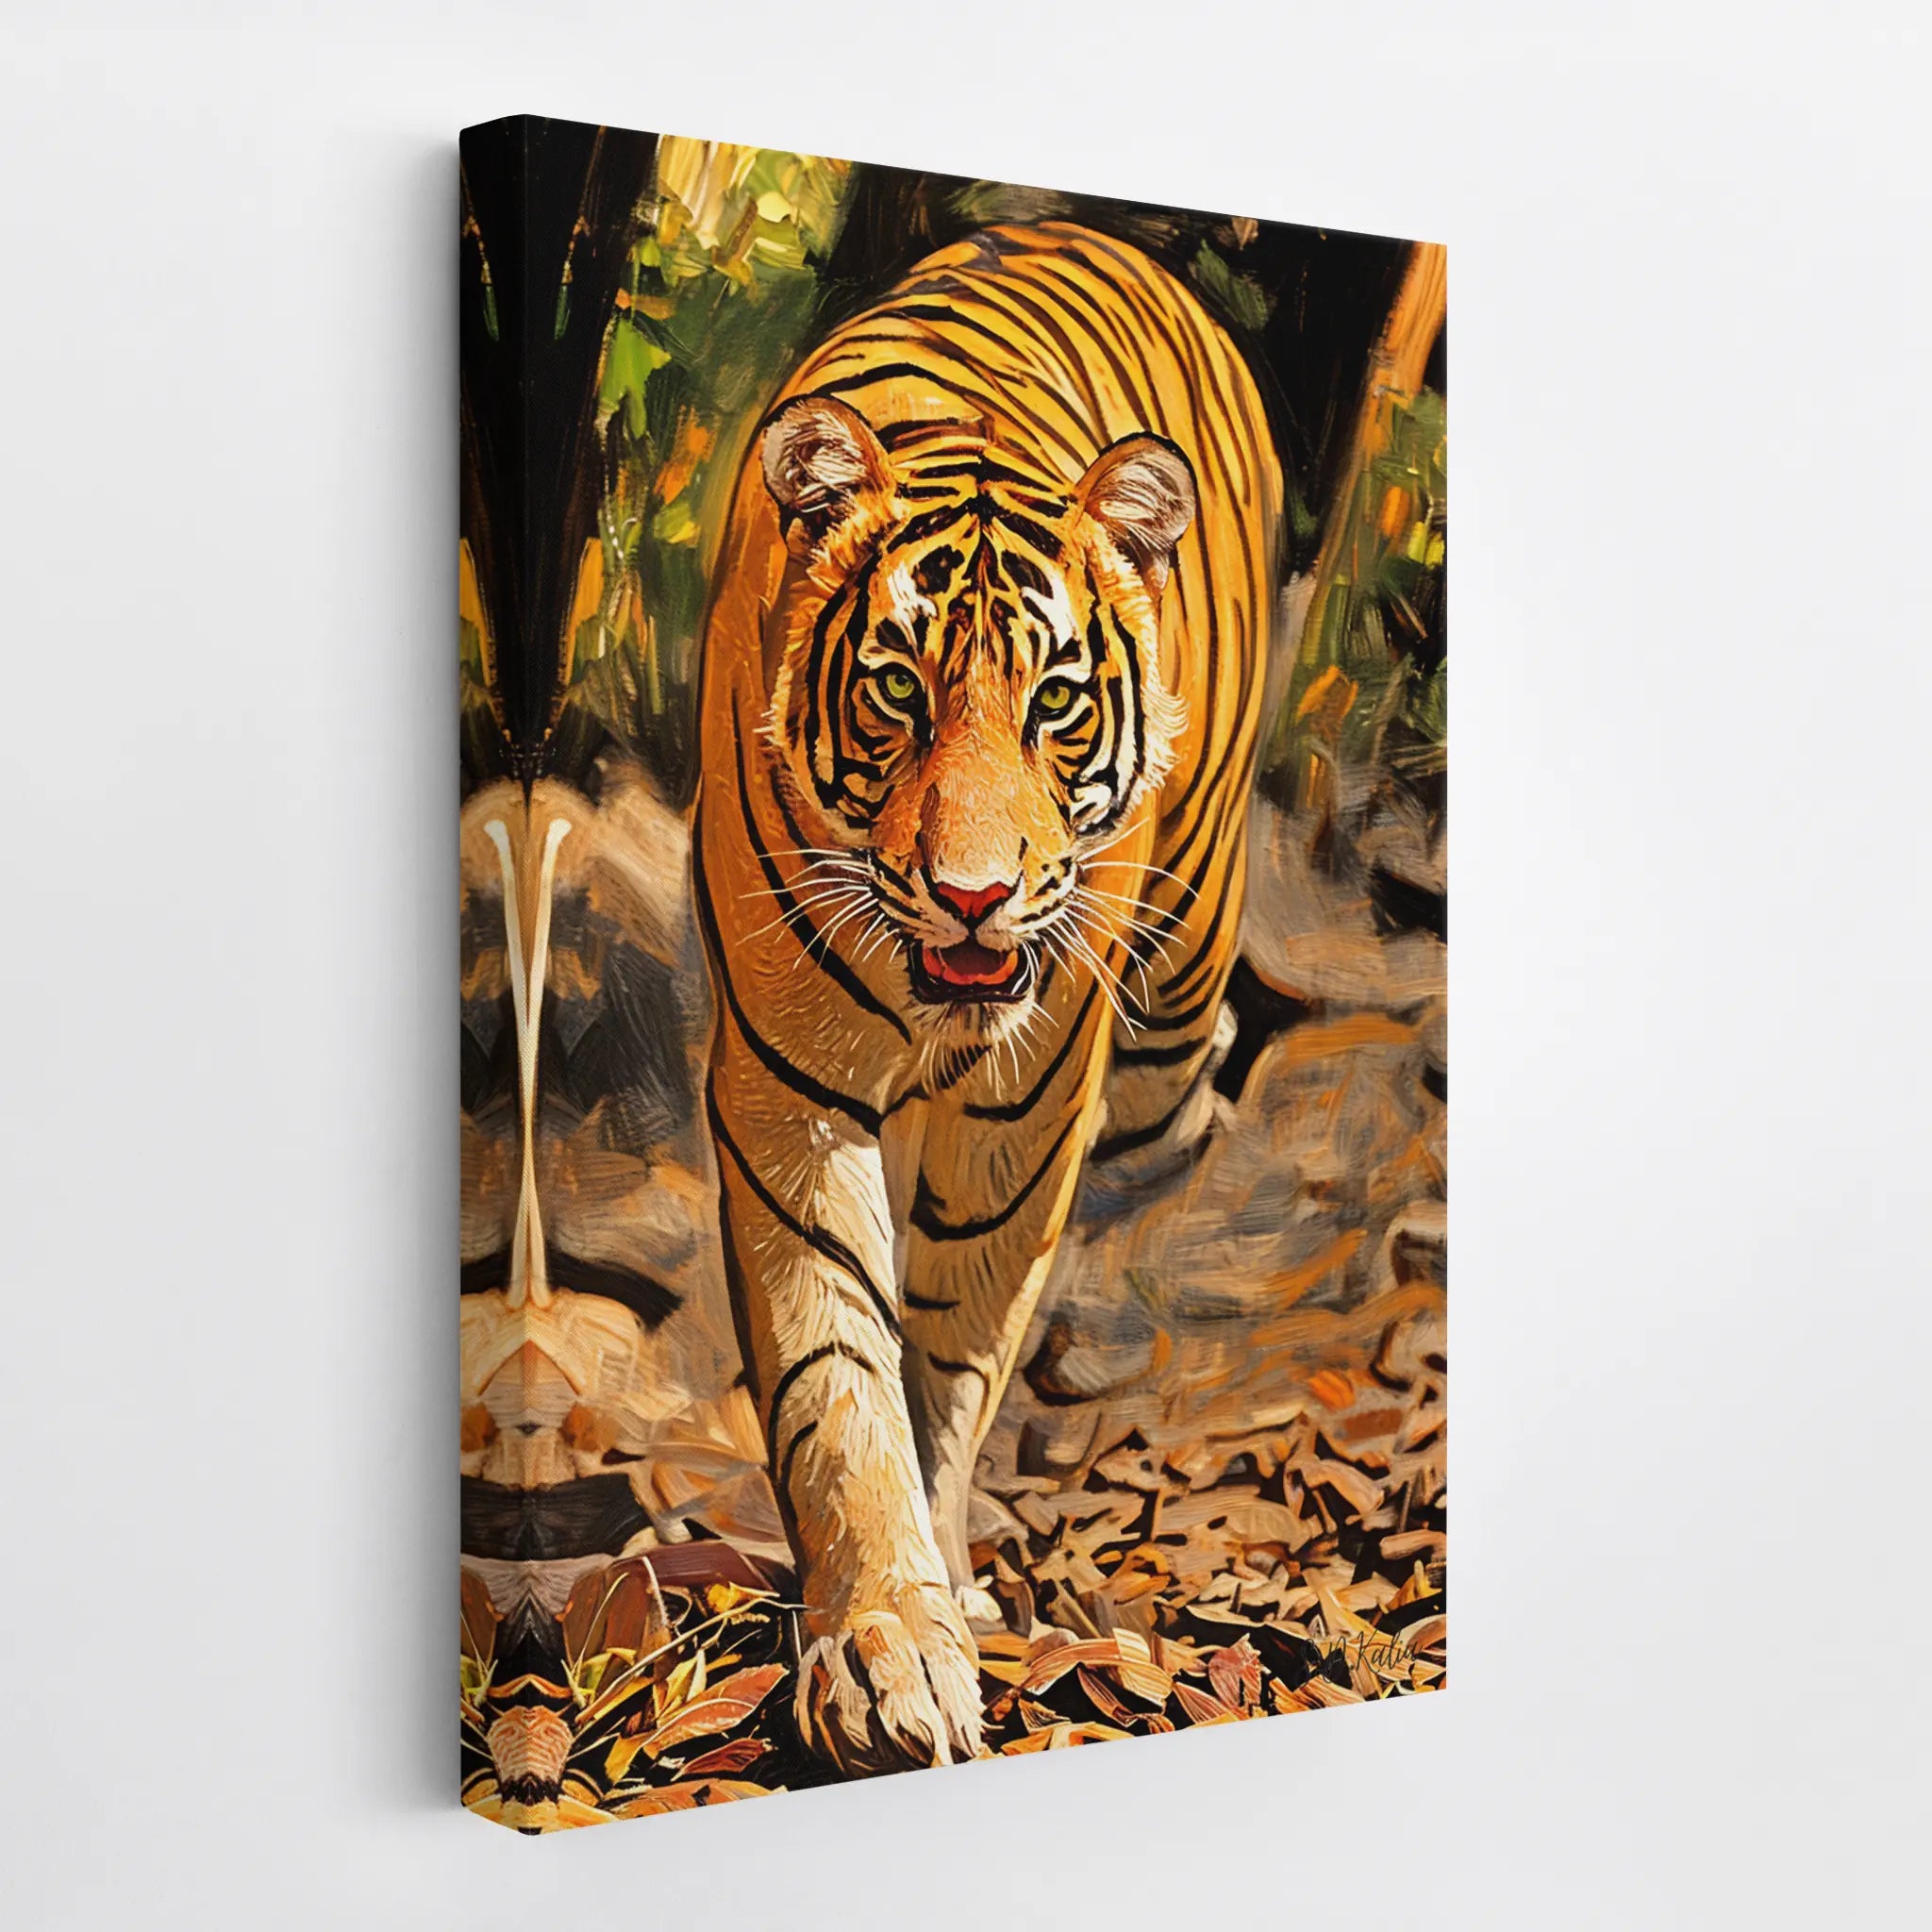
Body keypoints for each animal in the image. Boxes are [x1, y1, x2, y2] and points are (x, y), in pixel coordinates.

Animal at [692, 220, 1281, 1773]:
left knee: (1189, 1095)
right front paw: (881, 1643)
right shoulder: (784, 1089)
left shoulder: (1031, 1098)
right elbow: (839, 1371)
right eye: (896, 691)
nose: (968, 894)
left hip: (1179, 975)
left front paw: (941, 1581)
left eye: (1054, 703)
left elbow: (953, 1349)